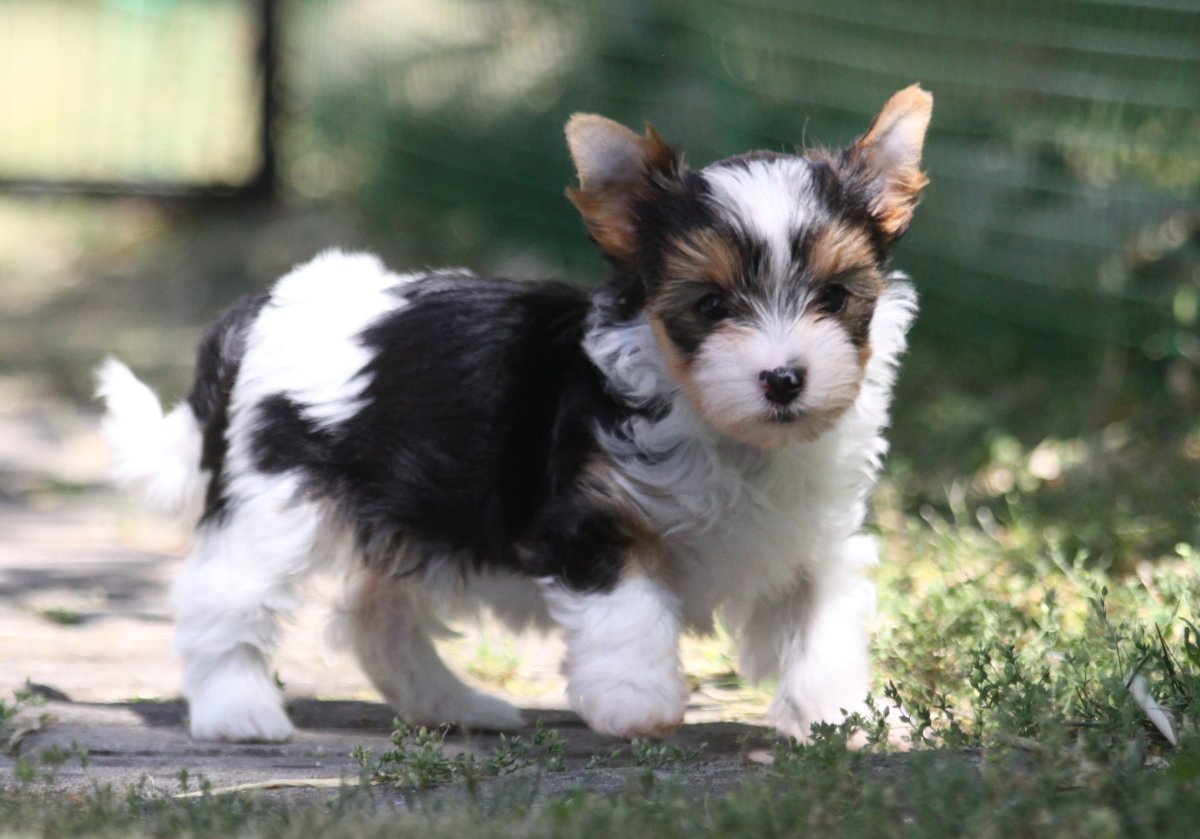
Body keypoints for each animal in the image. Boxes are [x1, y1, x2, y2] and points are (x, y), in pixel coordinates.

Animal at [97, 85, 931, 743]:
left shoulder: (813, 535)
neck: (724, 429)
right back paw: (236, 710)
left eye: (836, 297)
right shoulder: (589, 514)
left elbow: (822, 617)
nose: (784, 378)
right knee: (223, 599)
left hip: (407, 510)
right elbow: (627, 602)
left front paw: (840, 715)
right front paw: (638, 697)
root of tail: (260, 306)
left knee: (378, 617)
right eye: (712, 306)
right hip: (274, 497)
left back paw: (454, 705)